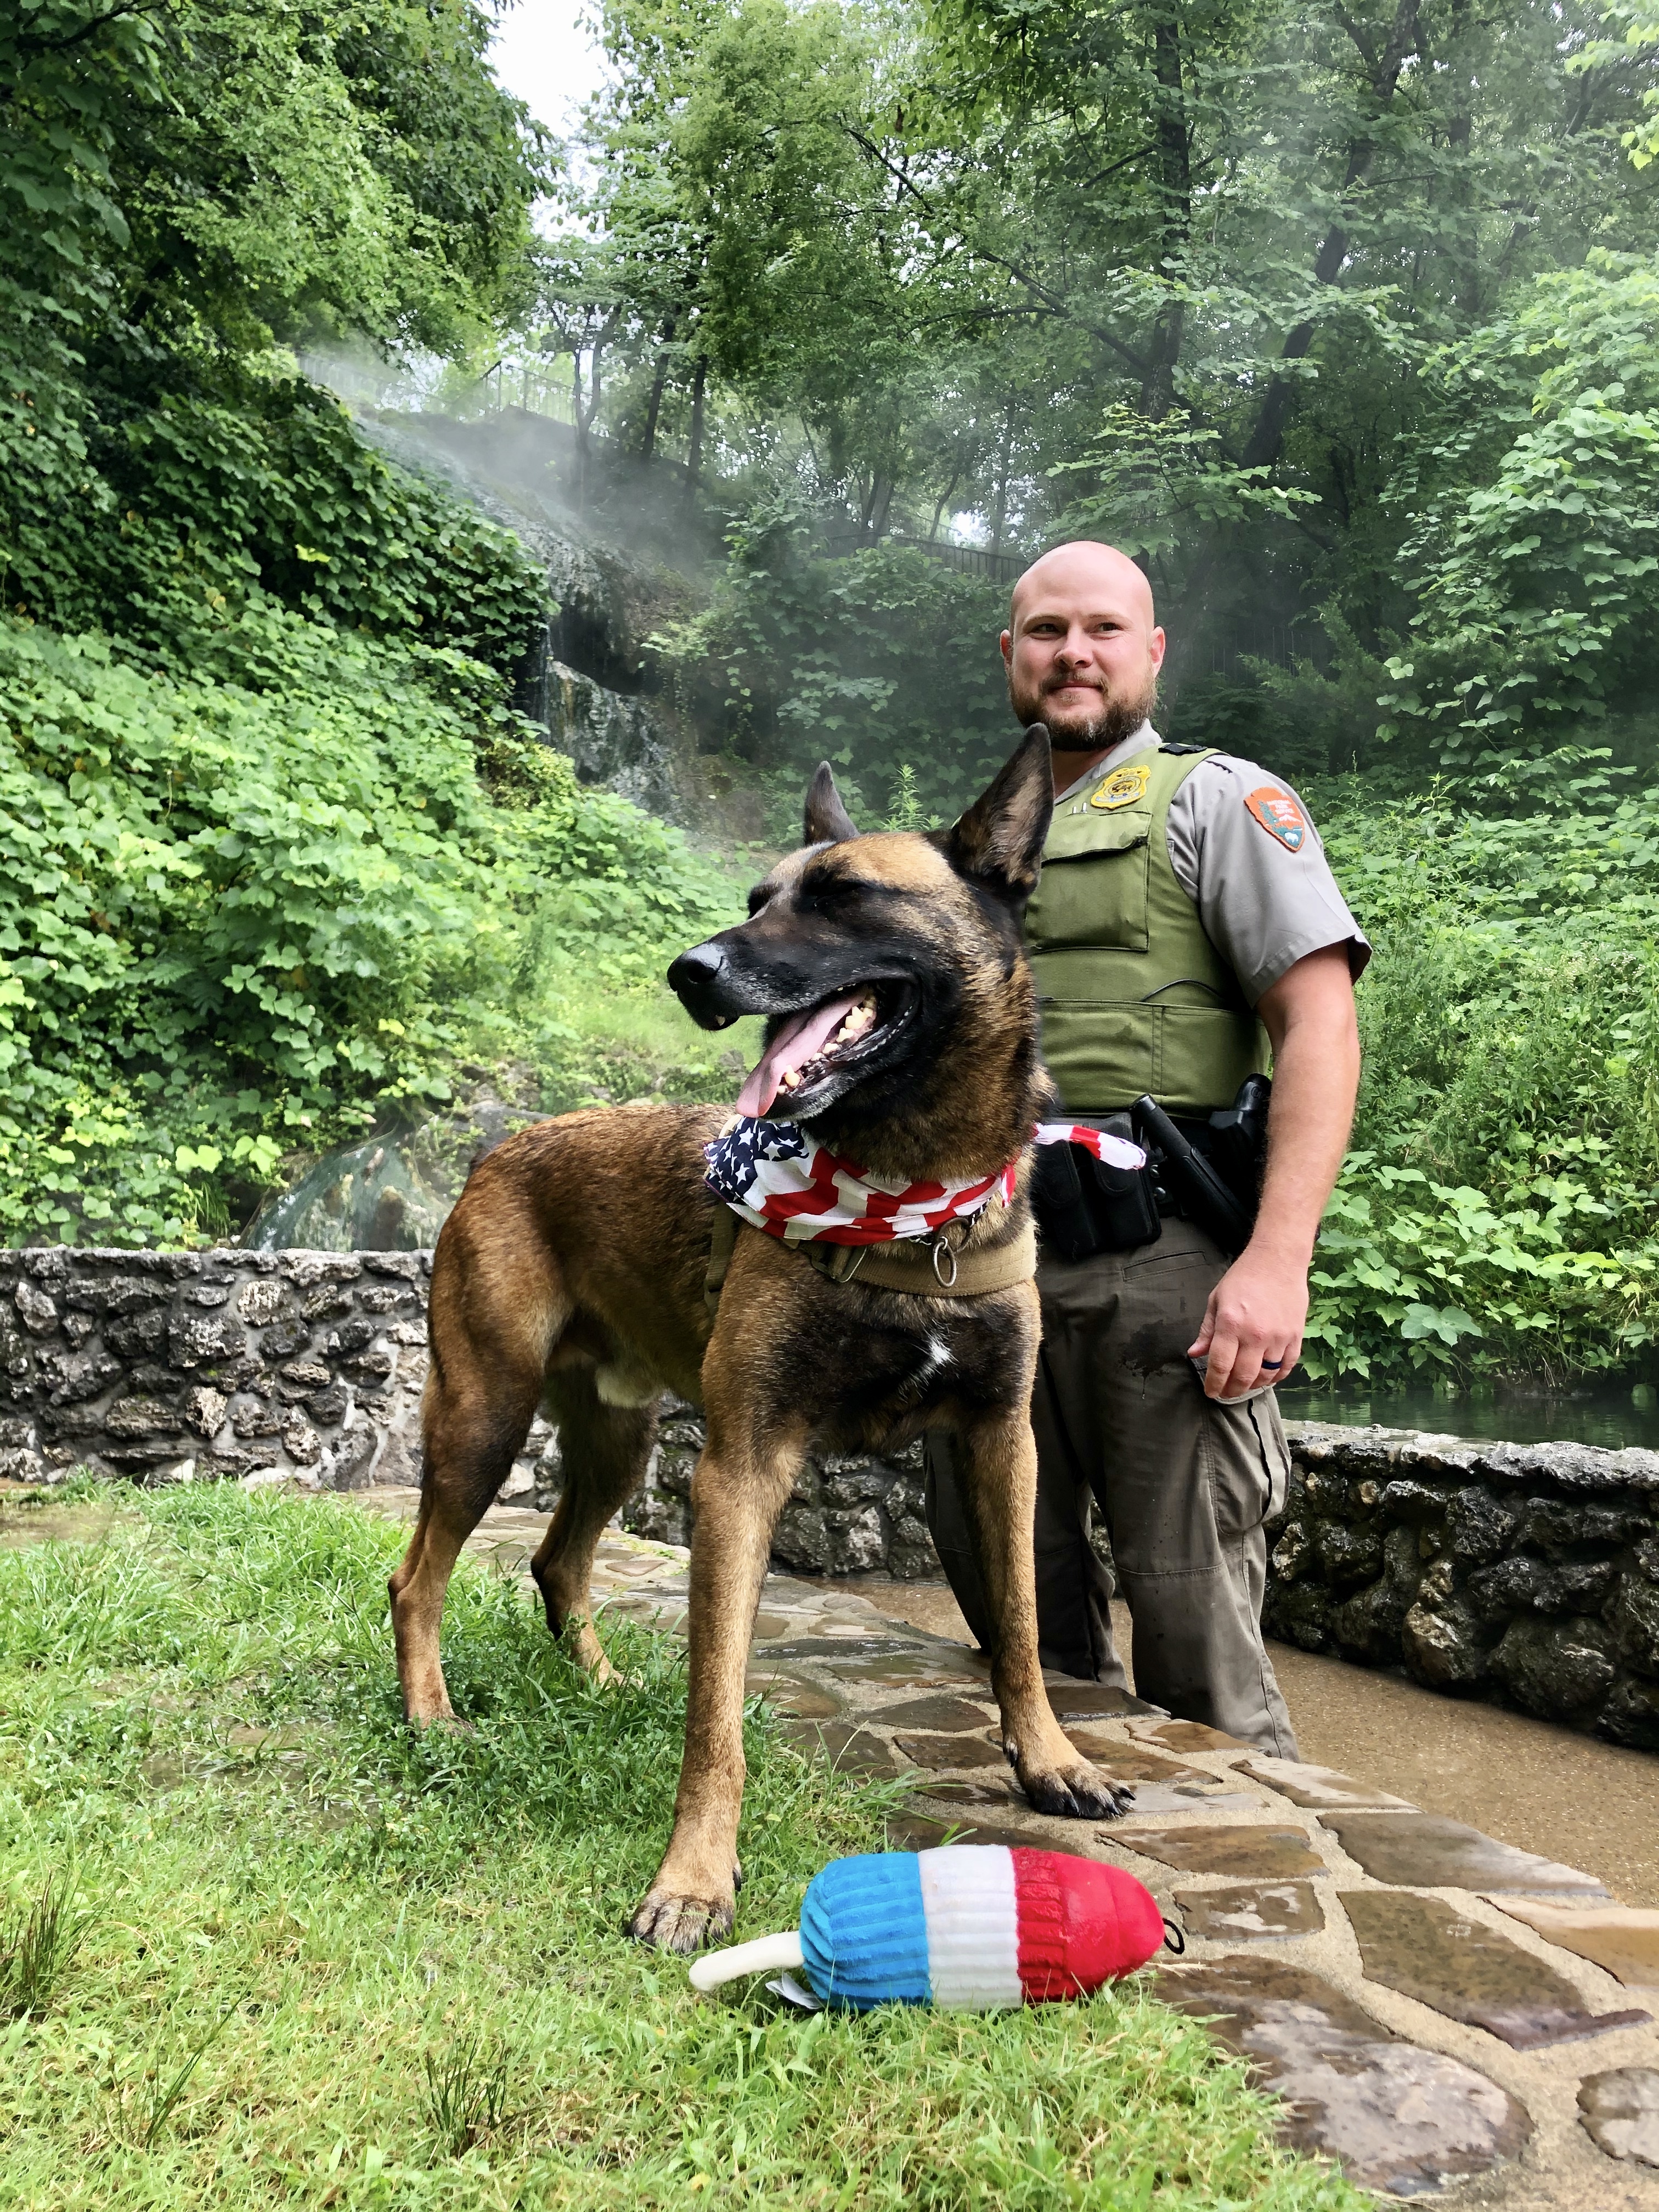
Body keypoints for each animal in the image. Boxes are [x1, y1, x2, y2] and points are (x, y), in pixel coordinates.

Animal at [387, 730, 1132, 1955]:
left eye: (843, 896)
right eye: (755, 901)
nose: (689, 971)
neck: (906, 1196)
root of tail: (501, 1149)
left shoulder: (998, 1444)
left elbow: (1022, 1629)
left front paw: (1052, 1763)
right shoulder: (741, 1472)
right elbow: (716, 1712)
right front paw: (694, 1878)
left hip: (620, 1445)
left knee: (556, 1561)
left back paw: (599, 1686)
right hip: (482, 1419)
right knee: (417, 1580)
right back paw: (431, 1715)